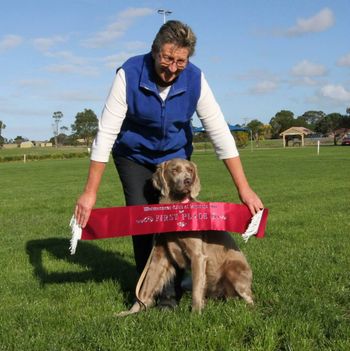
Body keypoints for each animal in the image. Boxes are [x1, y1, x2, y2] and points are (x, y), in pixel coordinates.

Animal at [119, 160, 253, 316]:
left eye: (190, 170)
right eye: (174, 170)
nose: (188, 181)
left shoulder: (198, 256)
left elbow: (197, 288)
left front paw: (195, 314)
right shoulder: (159, 256)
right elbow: (146, 286)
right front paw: (130, 311)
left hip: (233, 269)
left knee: (250, 298)